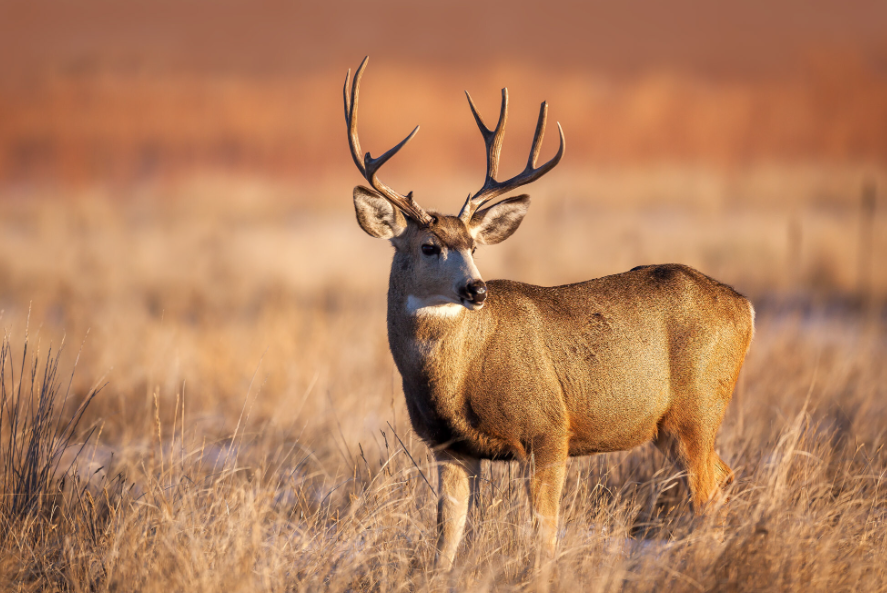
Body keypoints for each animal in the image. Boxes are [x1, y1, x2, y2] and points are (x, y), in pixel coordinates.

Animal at [343, 57, 755, 571]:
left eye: (474, 245)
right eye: (429, 246)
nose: (476, 289)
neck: (456, 378)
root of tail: (745, 306)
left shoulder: (548, 429)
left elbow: (543, 536)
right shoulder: (448, 446)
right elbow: (447, 540)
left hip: (697, 411)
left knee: (710, 495)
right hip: (670, 426)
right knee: (727, 478)